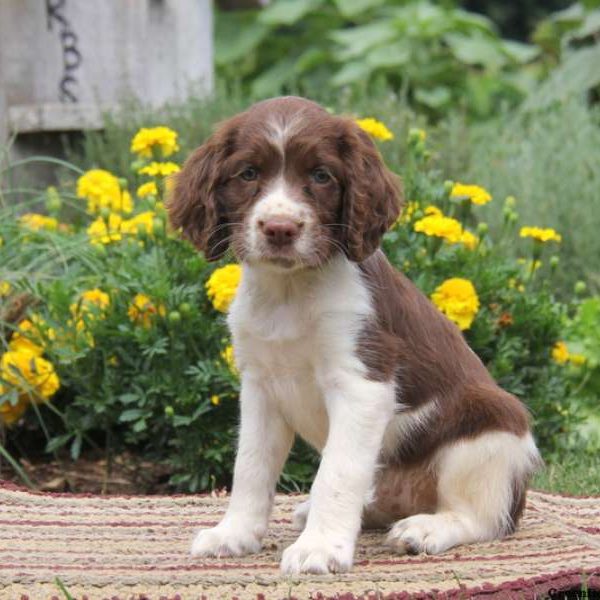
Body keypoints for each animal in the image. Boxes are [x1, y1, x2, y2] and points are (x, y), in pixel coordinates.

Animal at [166, 96, 540, 576]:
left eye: (321, 176)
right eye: (247, 173)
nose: (280, 229)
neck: (289, 292)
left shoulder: (361, 383)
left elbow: (336, 473)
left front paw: (319, 548)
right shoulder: (260, 387)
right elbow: (250, 466)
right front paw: (234, 535)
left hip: (487, 429)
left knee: (485, 516)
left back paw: (425, 529)